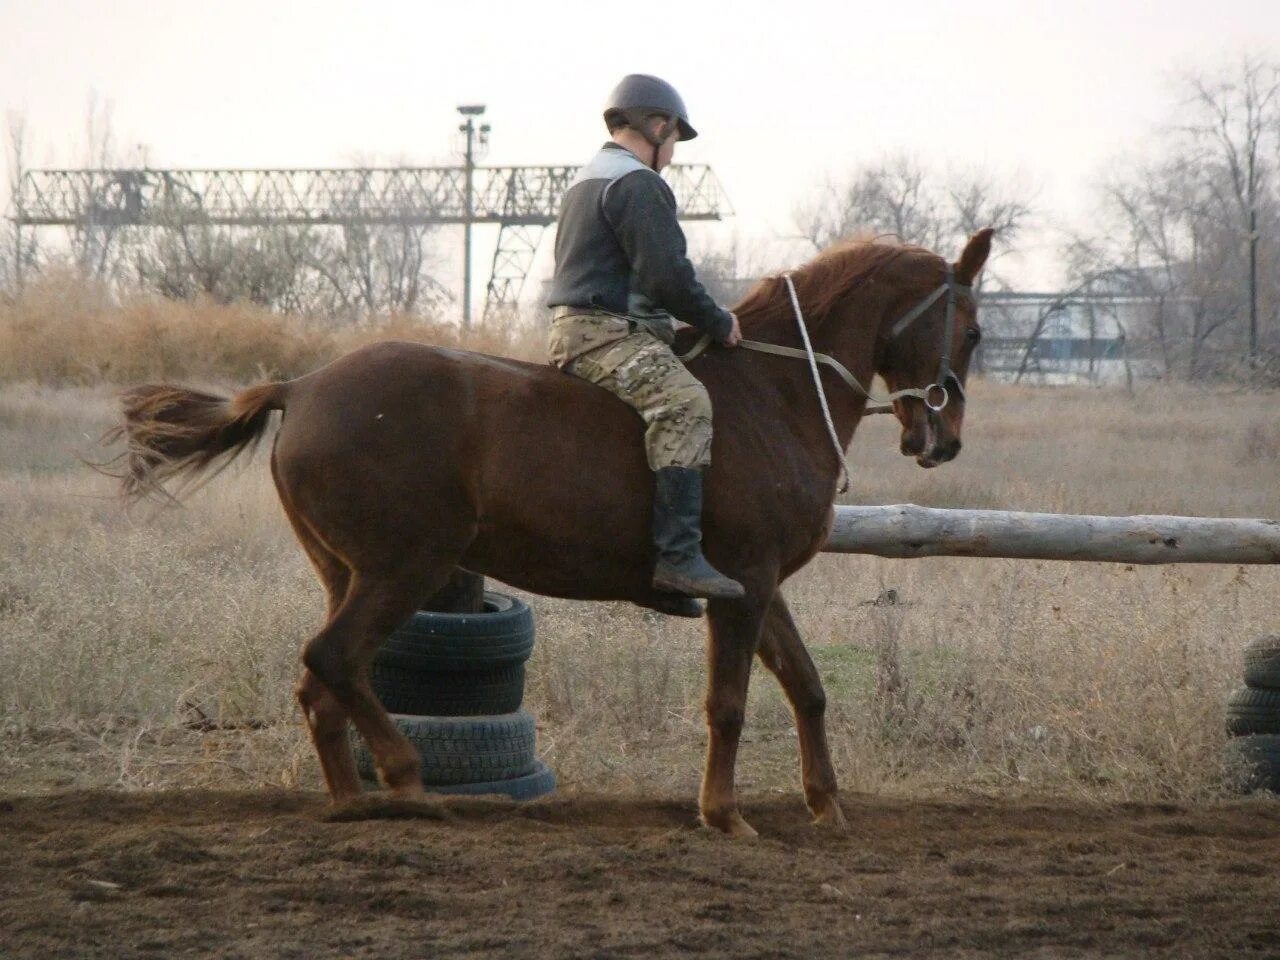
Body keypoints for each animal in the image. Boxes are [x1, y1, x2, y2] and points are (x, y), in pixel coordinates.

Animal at [112, 229, 988, 839]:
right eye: (976, 330)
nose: (944, 443)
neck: (775, 391)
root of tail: (303, 386)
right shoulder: (743, 587)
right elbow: (730, 703)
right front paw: (724, 814)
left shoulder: (758, 585)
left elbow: (806, 686)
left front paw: (826, 806)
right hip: (403, 570)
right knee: (334, 659)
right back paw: (406, 781)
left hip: (348, 572)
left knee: (322, 685)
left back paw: (355, 803)